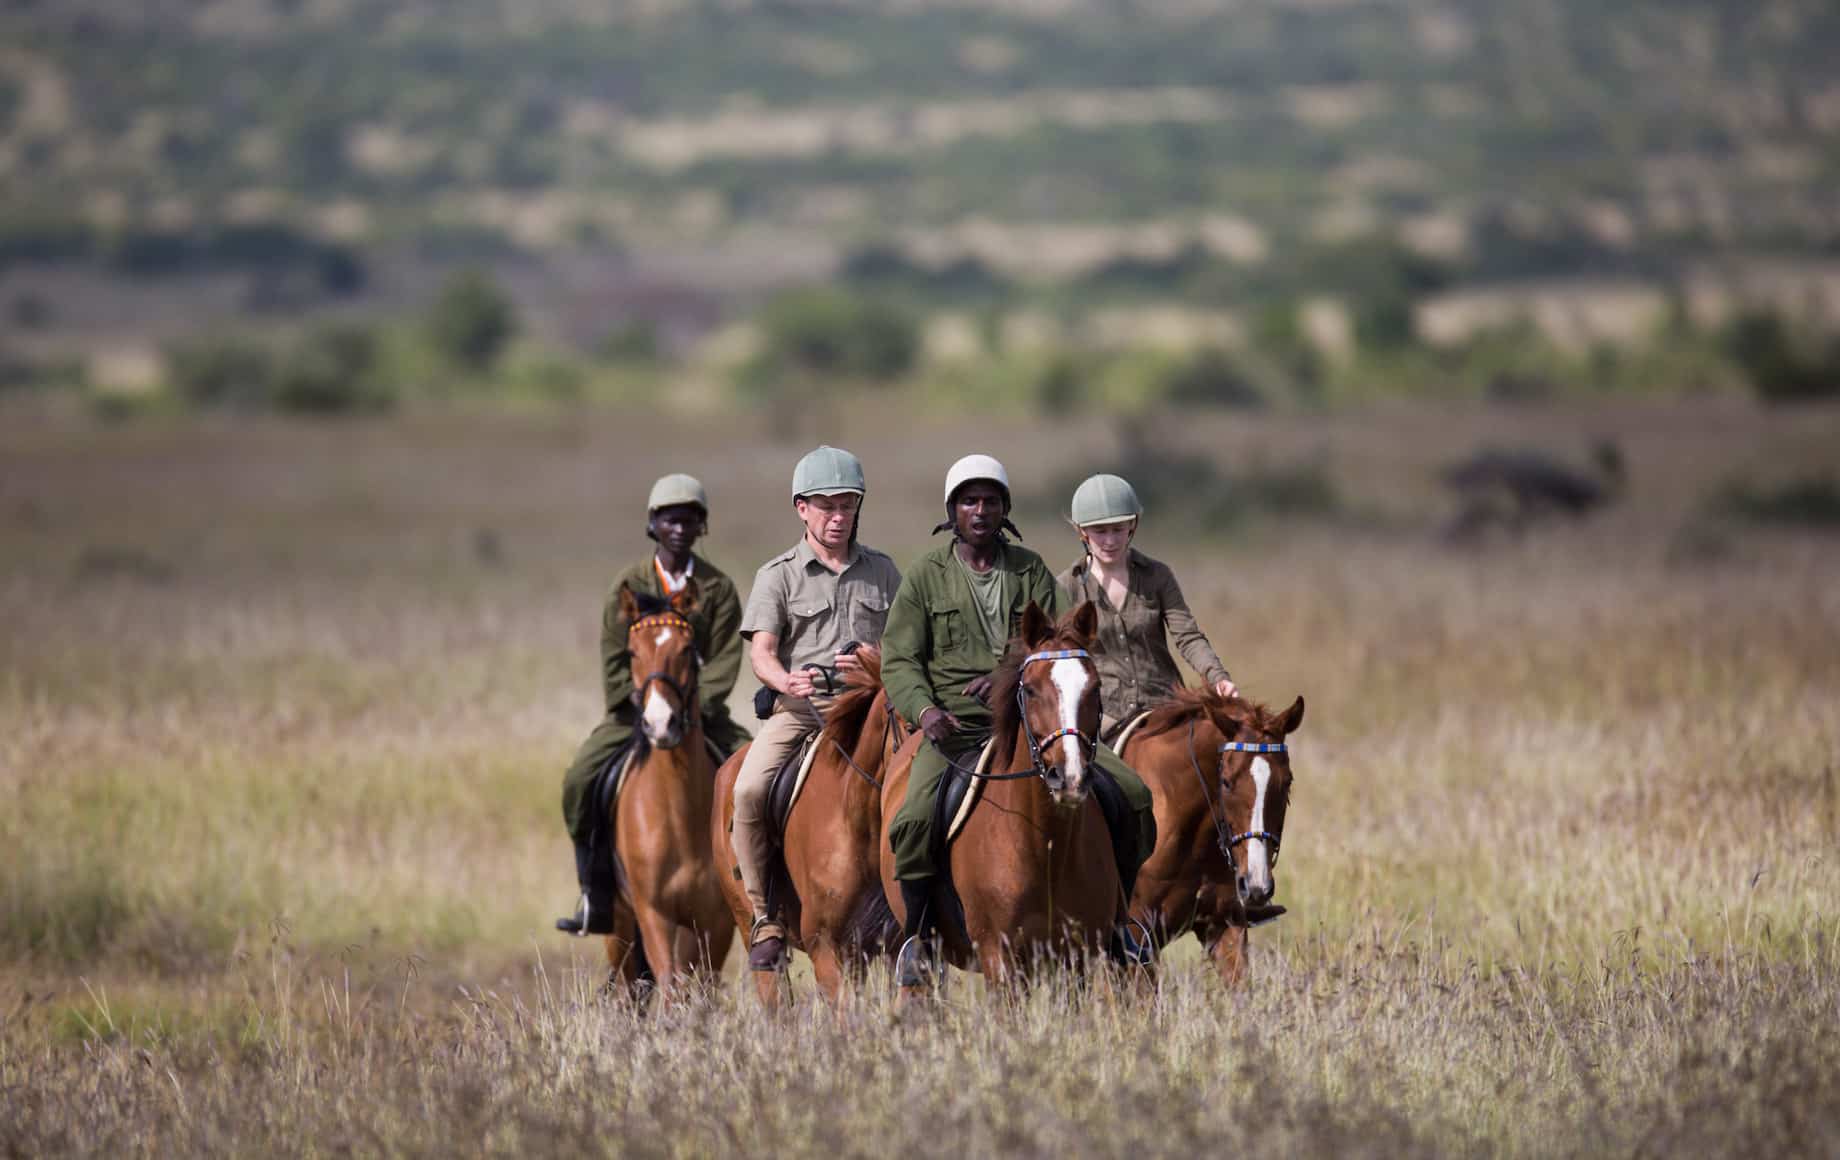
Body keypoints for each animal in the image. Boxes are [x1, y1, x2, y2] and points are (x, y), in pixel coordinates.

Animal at [610, 585, 739, 1001]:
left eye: (685, 649)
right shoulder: (654, 914)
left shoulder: (716, 921)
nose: (660, 723)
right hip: (620, 925)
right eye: (633, 652)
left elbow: (703, 987)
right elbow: (669, 985)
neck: (679, 813)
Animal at [879, 600, 1118, 1001]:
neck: (1045, 847)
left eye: (1095, 687)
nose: (1069, 777)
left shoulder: (1076, 956)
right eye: (1032, 690)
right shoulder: (999, 957)